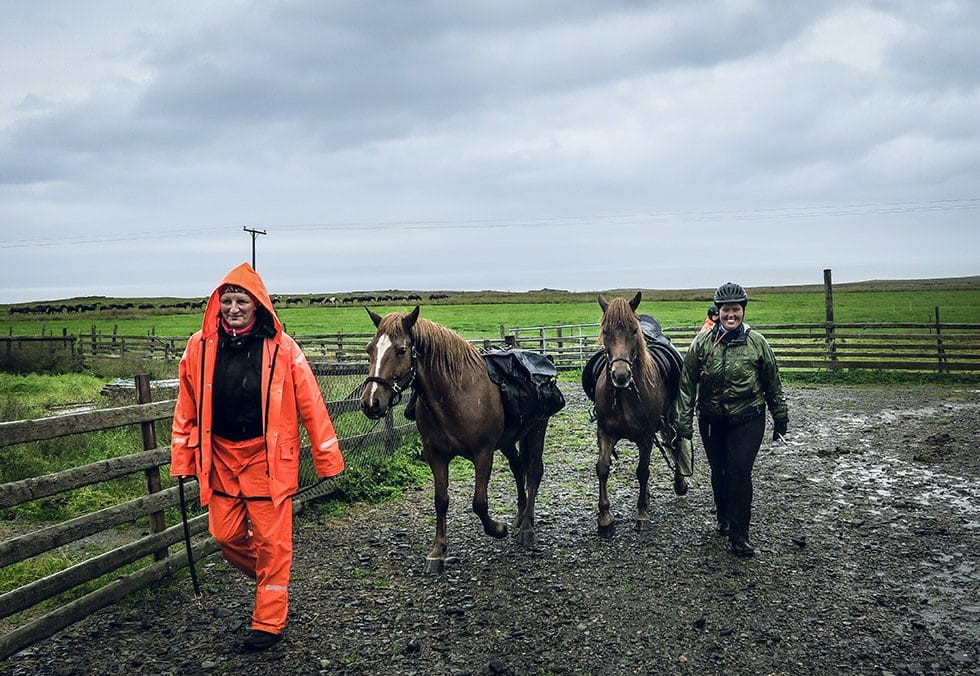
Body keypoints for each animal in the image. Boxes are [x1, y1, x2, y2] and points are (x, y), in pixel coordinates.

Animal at [362, 308, 552, 572]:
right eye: (369, 349)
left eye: (401, 350)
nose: (371, 402)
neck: (455, 395)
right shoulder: (436, 455)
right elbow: (441, 500)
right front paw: (437, 551)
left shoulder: (483, 454)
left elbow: (479, 503)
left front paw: (498, 529)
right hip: (508, 440)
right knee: (517, 467)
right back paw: (520, 515)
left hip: (536, 430)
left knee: (533, 472)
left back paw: (526, 527)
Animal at [588, 294, 688, 536]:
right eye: (605, 330)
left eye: (634, 330)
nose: (621, 375)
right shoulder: (605, 433)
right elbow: (602, 468)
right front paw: (605, 518)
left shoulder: (646, 436)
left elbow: (643, 471)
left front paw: (641, 512)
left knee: (676, 444)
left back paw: (679, 483)